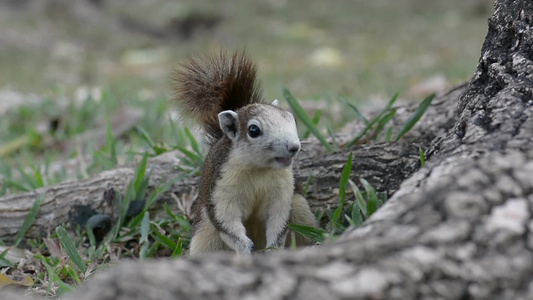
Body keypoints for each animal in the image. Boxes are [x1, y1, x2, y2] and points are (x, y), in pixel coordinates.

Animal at [172, 52, 318, 255]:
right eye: (253, 130)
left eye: (291, 119)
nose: (294, 147)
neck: (259, 169)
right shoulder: (220, 190)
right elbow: (227, 222)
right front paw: (244, 247)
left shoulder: (283, 192)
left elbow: (279, 220)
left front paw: (273, 248)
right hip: (204, 235)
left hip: (300, 209)